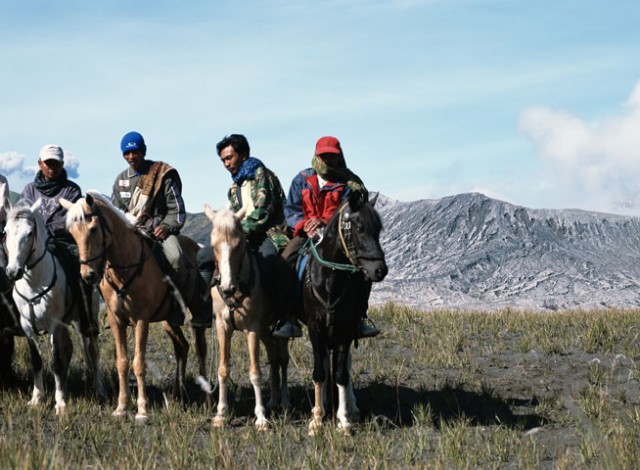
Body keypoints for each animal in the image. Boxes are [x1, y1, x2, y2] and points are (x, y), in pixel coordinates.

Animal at [4, 199, 104, 414]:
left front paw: (60, 403)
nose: (13, 271)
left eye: (29, 233)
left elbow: (56, 362)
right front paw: (37, 398)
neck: (34, 283)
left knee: (93, 354)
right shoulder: (27, 327)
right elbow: (37, 361)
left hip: (86, 320)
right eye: (5, 232)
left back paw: (99, 389)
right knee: (70, 349)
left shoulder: (54, 324)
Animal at [61, 193, 209, 420]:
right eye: (71, 232)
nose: (88, 275)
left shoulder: (141, 320)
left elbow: (139, 363)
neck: (124, 267)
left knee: (201, 349)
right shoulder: (116, 321)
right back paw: (179, 393)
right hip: (168, 320)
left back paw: (206, 396)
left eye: (93, 229)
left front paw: (142, 409)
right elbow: (122, 362)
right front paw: (122, 407)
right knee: (182, 347)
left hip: (197, 311)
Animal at [204, 205, 292, 430]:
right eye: (213, 245)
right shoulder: (223, 327)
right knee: (274, 356)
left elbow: (255, 372)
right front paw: (221, 414)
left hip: (278, 328)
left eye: (239, 245)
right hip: (265, 329)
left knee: (283, 357)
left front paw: (260, 417)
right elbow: (223, 370)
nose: (227, 287)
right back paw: (274, 399)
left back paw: (284, 399)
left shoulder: (251, 328)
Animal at [298, 193, 388, 436]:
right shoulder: (315, 327)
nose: (380, 270)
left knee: (344, 364)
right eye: (359, 227)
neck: (328, 281)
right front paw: (317, 420)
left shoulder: (345, 328)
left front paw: (344, 420)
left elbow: (341, 374)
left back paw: (351, 408)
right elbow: (319, 372)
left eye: (379, 229)